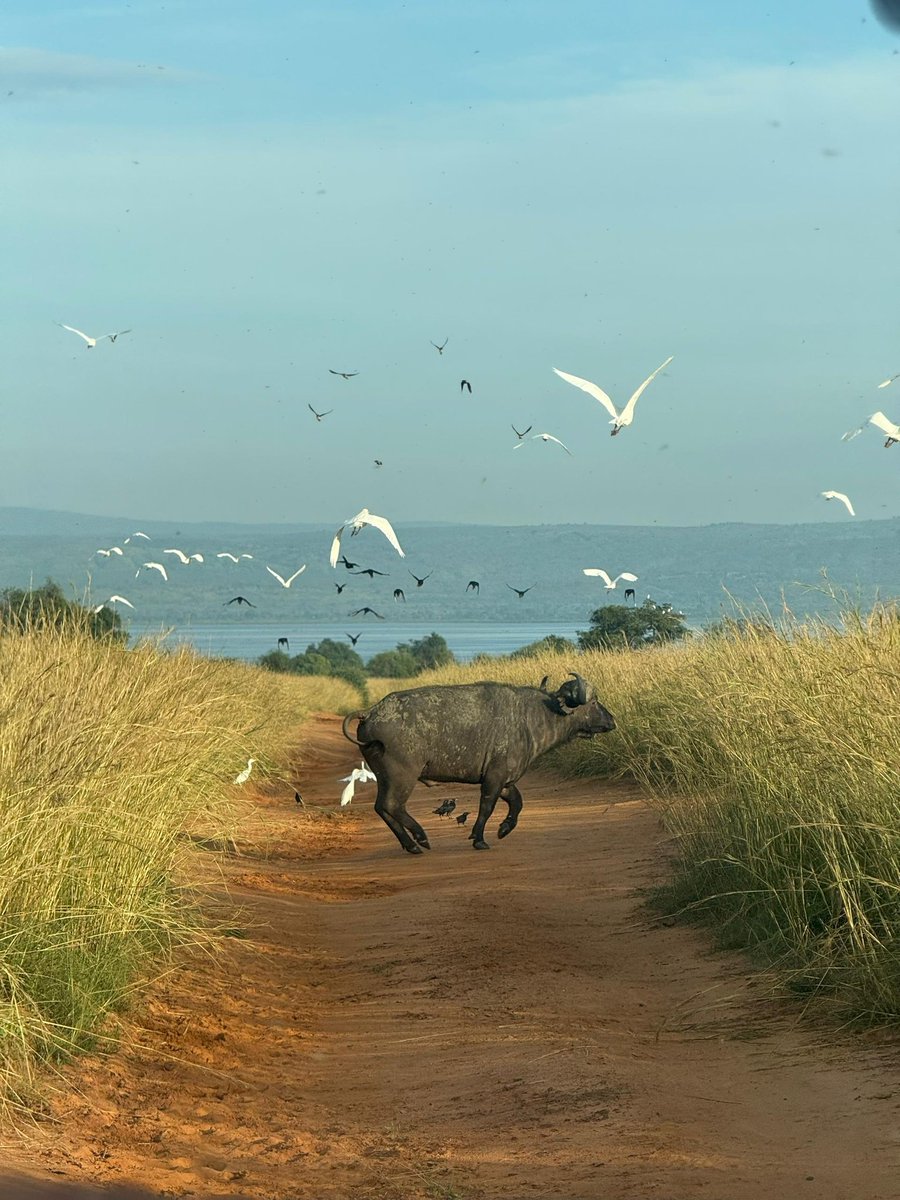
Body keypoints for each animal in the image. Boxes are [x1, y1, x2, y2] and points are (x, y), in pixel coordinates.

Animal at [342, 672, 615, 853]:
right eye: (593, 702)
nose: (612, 720)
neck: (533, 716)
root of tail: (371, 712)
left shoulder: (506, 780)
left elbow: (517, 803)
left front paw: (505, 828)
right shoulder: (494, 778)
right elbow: (487, 807)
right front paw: (479, 838)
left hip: (384, 776)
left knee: (381, 807)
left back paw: (410, 845)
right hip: (403, 776)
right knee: (392, 805)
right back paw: (421, 838)